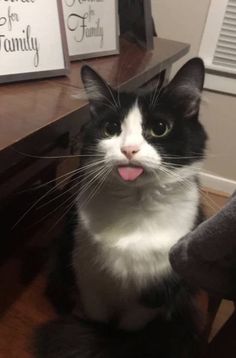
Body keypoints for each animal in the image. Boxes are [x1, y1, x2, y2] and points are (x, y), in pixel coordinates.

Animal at [35, 57, 208, 356]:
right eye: (111, 129)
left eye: (159, 128)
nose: (128, 150)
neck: (134, 206)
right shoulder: (89, 278)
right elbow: (98, 317)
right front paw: (97, 335)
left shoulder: (154, 292)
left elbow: (129, 326)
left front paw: (114, 340)